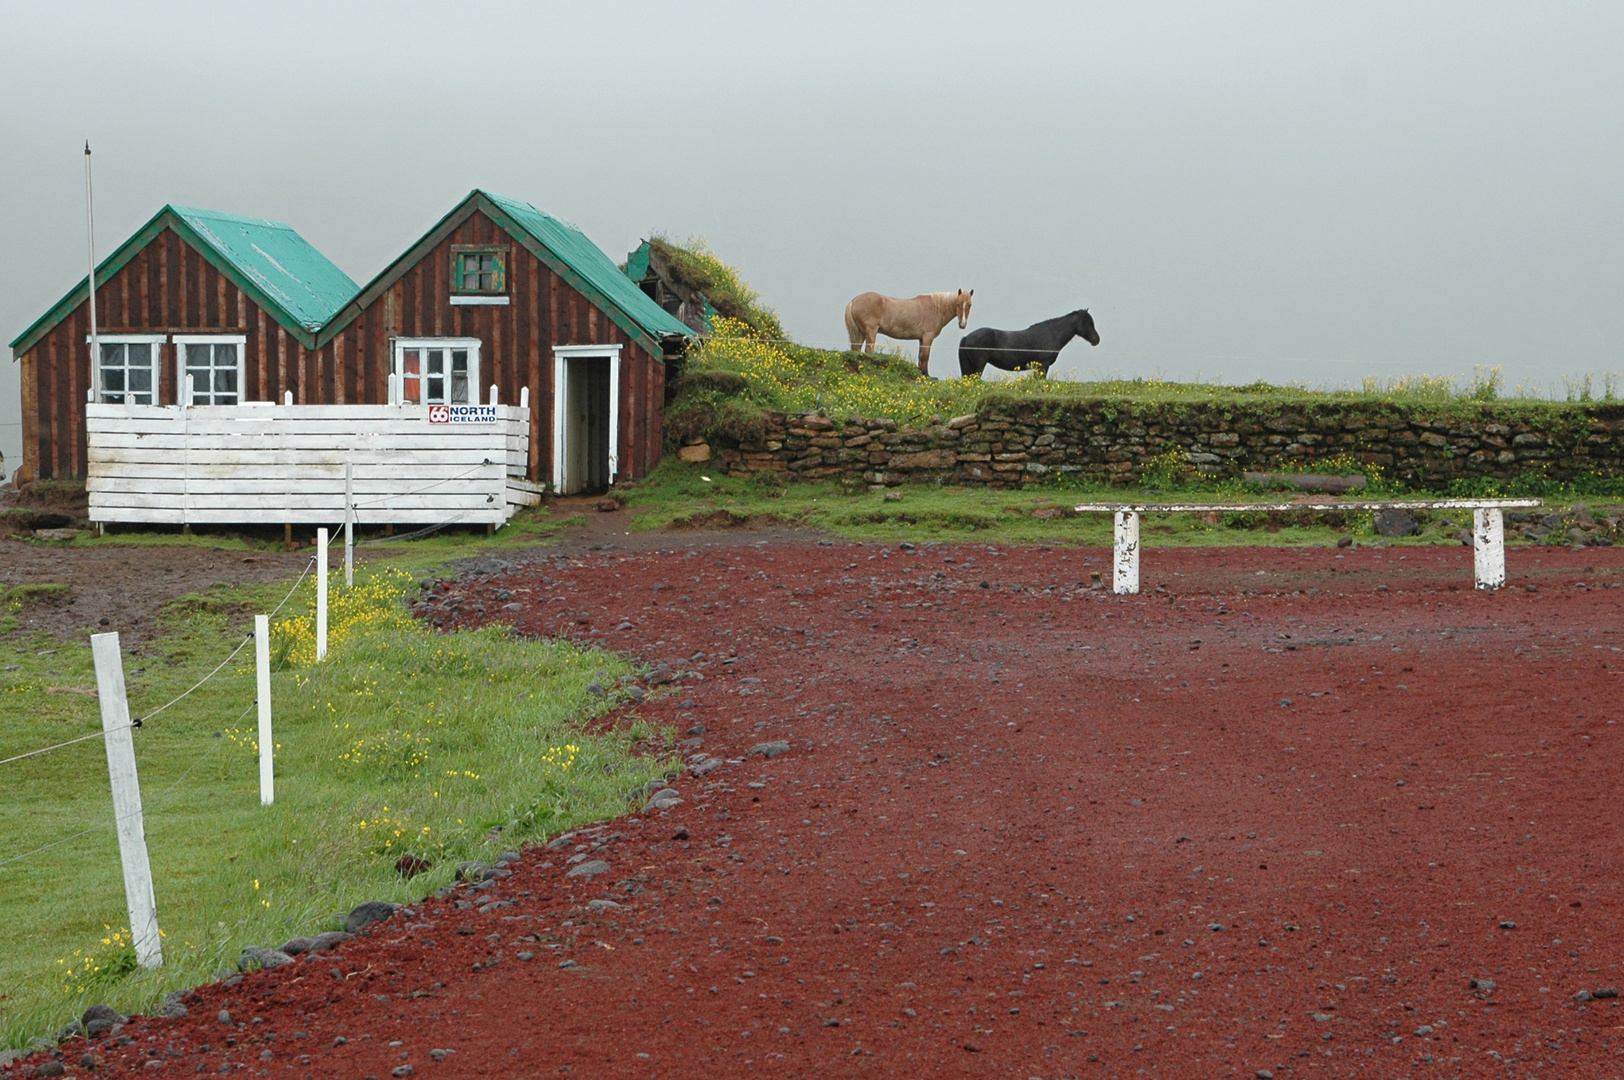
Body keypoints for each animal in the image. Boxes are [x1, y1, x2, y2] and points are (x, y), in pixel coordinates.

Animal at [954, 306, 1097, 378]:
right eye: (1088, 322)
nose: (1097, 339)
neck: (1052, 334)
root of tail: (967, 337)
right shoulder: (1044, 365)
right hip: (979, 365)